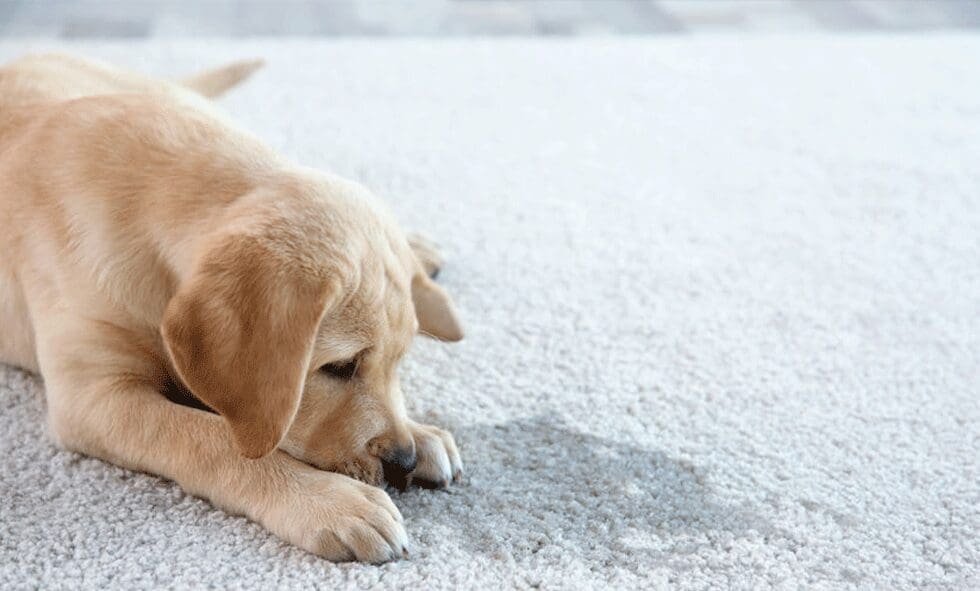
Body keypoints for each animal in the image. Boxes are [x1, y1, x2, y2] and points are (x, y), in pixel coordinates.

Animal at [0, 55, 466, 564]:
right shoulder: (95, 396)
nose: (402, 460)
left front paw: (422, 433)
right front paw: (328, 500)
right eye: (340, 367)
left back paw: (417, 248)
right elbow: (210, 438)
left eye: (398, 362)